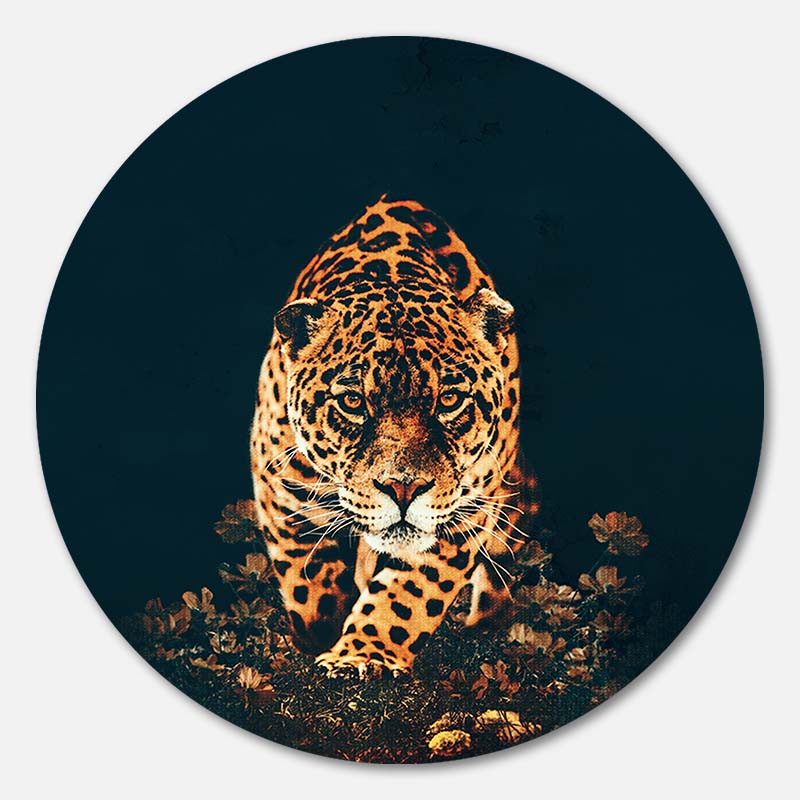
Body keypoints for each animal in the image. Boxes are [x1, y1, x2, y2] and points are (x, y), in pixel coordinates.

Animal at [250, 195, 539, 677]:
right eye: (352, 402)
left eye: (449, 400)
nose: (403, 489)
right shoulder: (281, 487)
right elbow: (307, 578)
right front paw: (322, 632)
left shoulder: (463, 509)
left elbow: (409, 594)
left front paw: (363, 654)